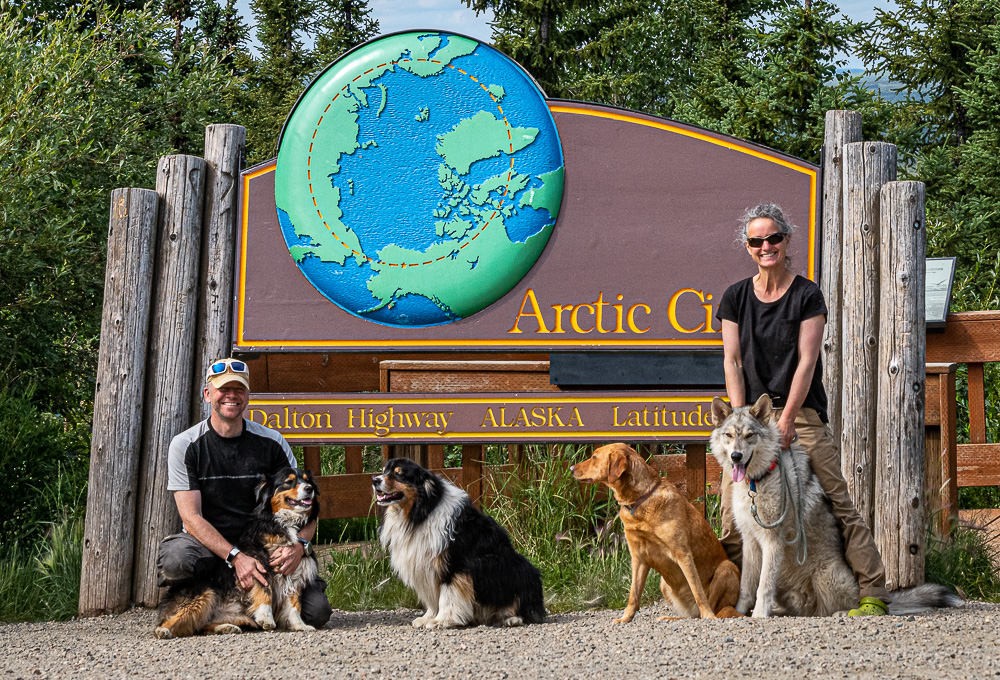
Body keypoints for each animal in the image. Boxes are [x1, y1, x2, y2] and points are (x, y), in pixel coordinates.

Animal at [572, 440, 744, 620]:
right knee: (691, 616)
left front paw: (708, 615)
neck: (639, 501)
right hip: (664, 584)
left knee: (714, 608)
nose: (571, 468)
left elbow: (697, 590)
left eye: (593, 457)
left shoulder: (683, 554)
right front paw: (625, 619)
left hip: (727, 568)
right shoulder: (638, 558)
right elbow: (633, 594)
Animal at [712, 396, 960, 620]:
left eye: (749, 435)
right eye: (729, 435)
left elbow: (763, 586)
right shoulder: (750, 542)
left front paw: (759, 615)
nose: (736, 456)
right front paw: (738, 612)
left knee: (837, 606)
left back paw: (849, 611)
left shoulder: (772, 541)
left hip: (827, 576)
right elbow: (746, 587)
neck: (758, 481)